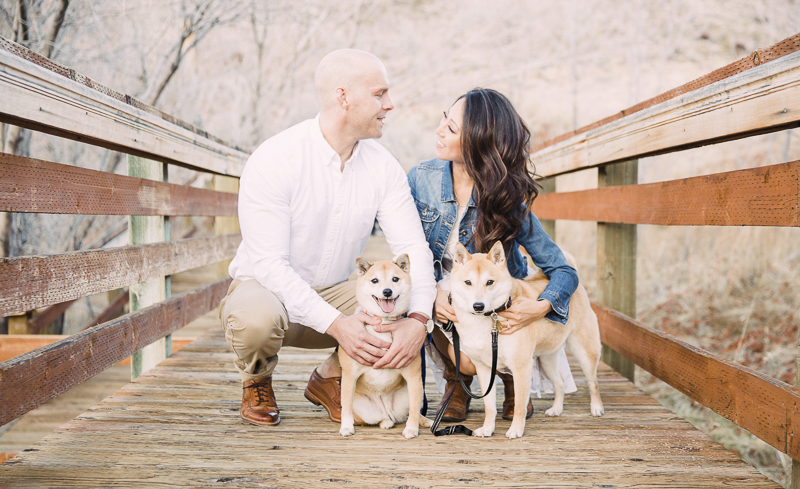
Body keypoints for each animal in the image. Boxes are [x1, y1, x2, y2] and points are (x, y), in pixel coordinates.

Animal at [338, 255, 432, 438]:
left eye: (395, 279)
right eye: (375, 280)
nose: (387, 291)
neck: (383, 321)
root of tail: (387, 409)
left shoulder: (413, 376)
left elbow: (414, 410)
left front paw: (412, 428)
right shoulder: (349, 375)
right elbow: (345, 405)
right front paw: (346, 427)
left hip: (411, 391)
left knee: (414, 409)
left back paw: (424, 421)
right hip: (363, 407)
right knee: (377, 418)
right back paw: (386, 422)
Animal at [450, 241, 600, 438]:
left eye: (489, 282)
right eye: (468, 282)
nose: (478, 306)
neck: (489, 319)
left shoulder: (521, 367)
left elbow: (520, 405)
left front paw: (515, 429)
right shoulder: (483, 368)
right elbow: (489, 406)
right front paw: (488, 428)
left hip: (583, 351)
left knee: (593, 382)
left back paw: (596, 407)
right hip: (547, 359)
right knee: (560, 382)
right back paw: (556, 409)